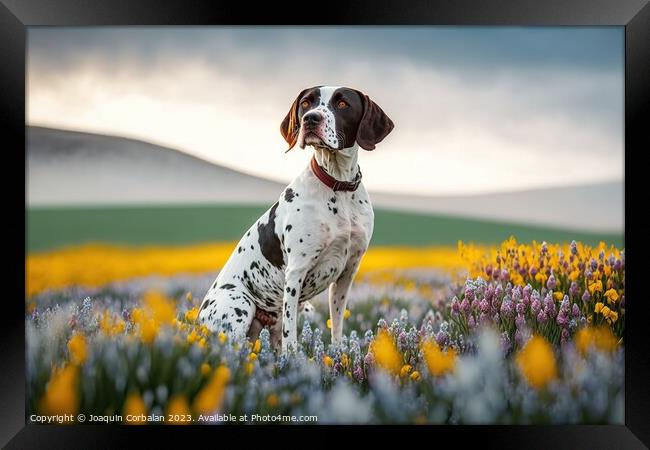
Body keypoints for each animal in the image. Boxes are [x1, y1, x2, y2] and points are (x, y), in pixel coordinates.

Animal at [196, 86, 390, 354]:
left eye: (342, 103)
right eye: (306, 103)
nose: (311, 119)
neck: (338, 186)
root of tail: (197, 322)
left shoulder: (347, 273)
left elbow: (337, 327)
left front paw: (340, 356)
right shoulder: (296, 272)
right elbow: (292, 339)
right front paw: (295, 358)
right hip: (240, 304)